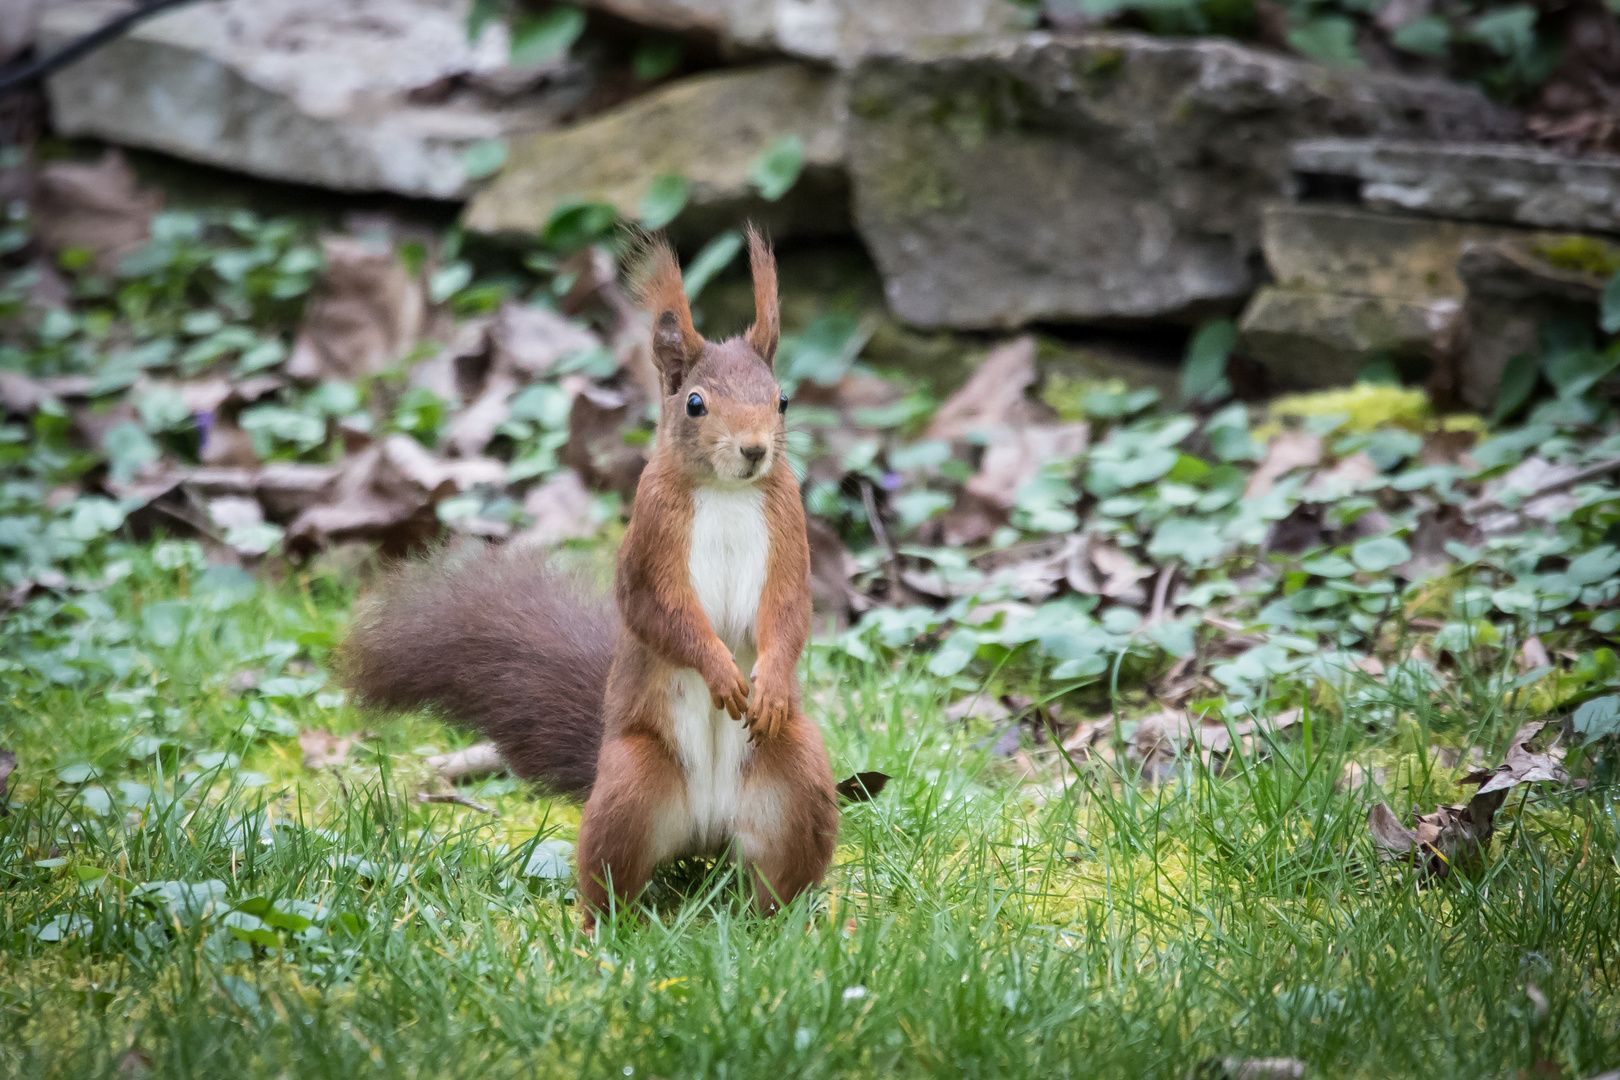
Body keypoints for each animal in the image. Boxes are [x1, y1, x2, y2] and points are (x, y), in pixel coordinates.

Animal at [346, 228, 842, 932]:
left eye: (782, 400)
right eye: (695, 403)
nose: (754, 450)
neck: (725, 491)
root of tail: (707, 832)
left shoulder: (789, 532)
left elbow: (790, 612)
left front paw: (768, 683)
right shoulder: (649, 541)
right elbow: (658, 612)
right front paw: (720, 671)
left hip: (794, 775)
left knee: (776, 880)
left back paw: (787, 925)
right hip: (631, 786)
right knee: (611, 879)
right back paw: (596, 933)